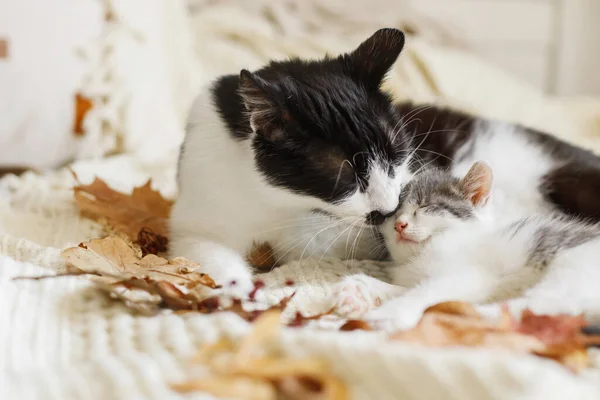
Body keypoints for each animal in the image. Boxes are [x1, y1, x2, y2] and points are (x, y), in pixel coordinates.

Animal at [170, 27, 600, 296]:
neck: (282, 202)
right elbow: (205, 250)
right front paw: (239, 291)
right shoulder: (199, 208)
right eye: (345, 172)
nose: (390, 209)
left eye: (396, 155)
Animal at [336, 161, 600, 330]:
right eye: (394, 214)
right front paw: (360, 289)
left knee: (536, 309)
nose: (399, 225)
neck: (420, 256)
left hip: (568, 269)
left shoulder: (467, 275)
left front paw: (387, 313)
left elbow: (424, 293)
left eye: (425, 206)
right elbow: (410, 287)